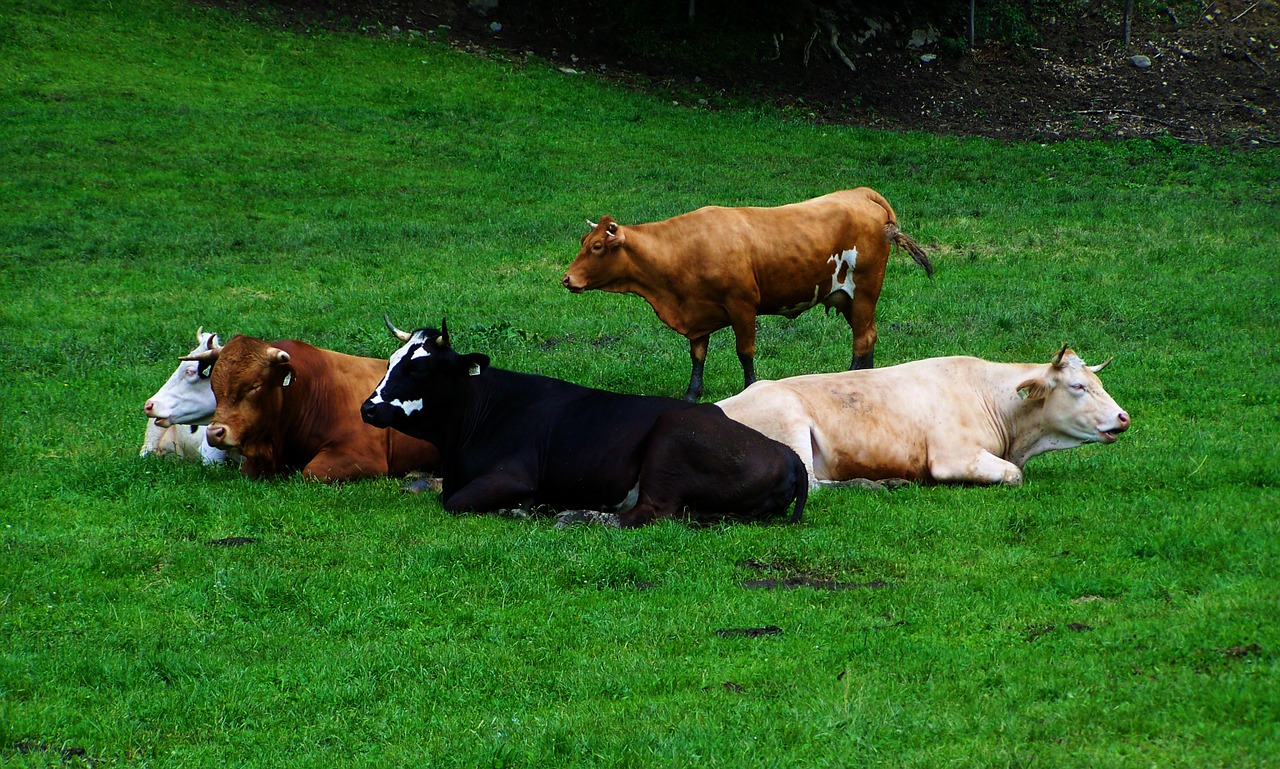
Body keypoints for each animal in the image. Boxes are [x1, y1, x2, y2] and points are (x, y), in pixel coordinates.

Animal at [355, 314, 803, 524]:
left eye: (419, 368)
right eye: (390, 362)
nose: (367, 407)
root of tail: (787, 454)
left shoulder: (512, 476)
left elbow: (454, 502)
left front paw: (521, 508)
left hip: (670, 440)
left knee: (645, 514)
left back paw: (575, 517)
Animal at [560, 188, 931, 399]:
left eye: (596, 247)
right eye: (583, 242)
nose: (567, 279)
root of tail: (860, 193)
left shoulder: (742, 305)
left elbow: (745, 353)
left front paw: (750, 388)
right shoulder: (698, 314)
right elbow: (697, 355)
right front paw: (692, 393)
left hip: (865, 290)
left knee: (863, 338)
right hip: (850, 299)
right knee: (867, 335)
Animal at [721, 348, 1131, 486]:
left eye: (1097, 381)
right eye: (1078, 386)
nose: (1123, 417)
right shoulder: (953, 457)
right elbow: (1014, 475)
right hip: (790, 424)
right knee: (814, 484)